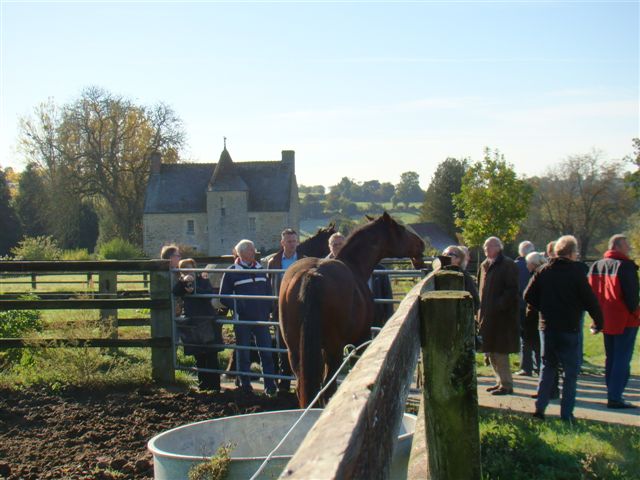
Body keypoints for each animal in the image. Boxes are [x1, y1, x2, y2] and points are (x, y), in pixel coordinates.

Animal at [278, 212, 425, 407]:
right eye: (400, 229)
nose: (421, 243)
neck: (354, 265)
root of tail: (312, 275)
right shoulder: (361, 339)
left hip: (295, 351)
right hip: (333, 349)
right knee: (328, 388)